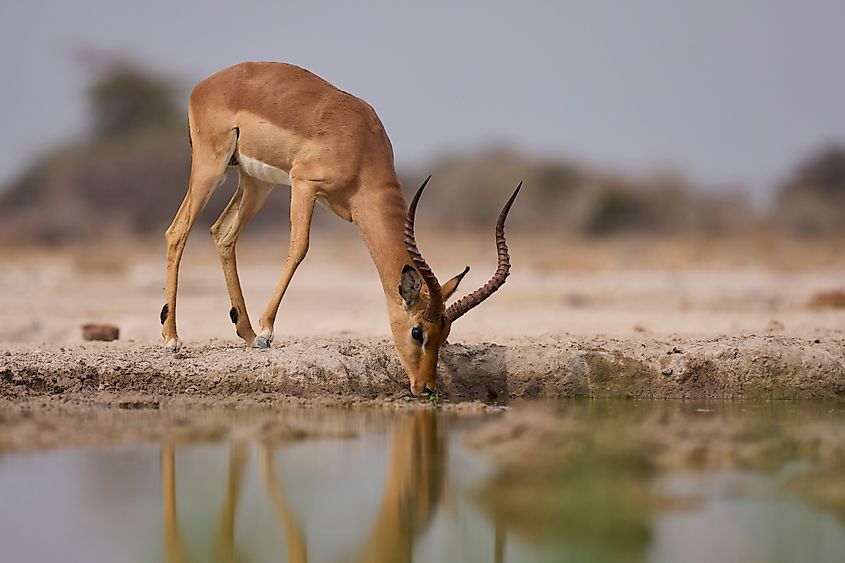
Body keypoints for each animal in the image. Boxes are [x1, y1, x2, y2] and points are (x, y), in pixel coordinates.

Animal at [161, 61, 520, 396]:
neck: (360, 144)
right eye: (418, 332)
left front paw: (259, 333)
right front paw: (267, 332)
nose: (427, 388)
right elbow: (299, 247)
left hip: (256, 181)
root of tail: (205, 84)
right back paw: (173, 339)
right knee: (177, 231)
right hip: (211, 166)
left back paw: (245, 333)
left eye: (445, 335)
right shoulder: (304, 184)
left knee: (223, 233)